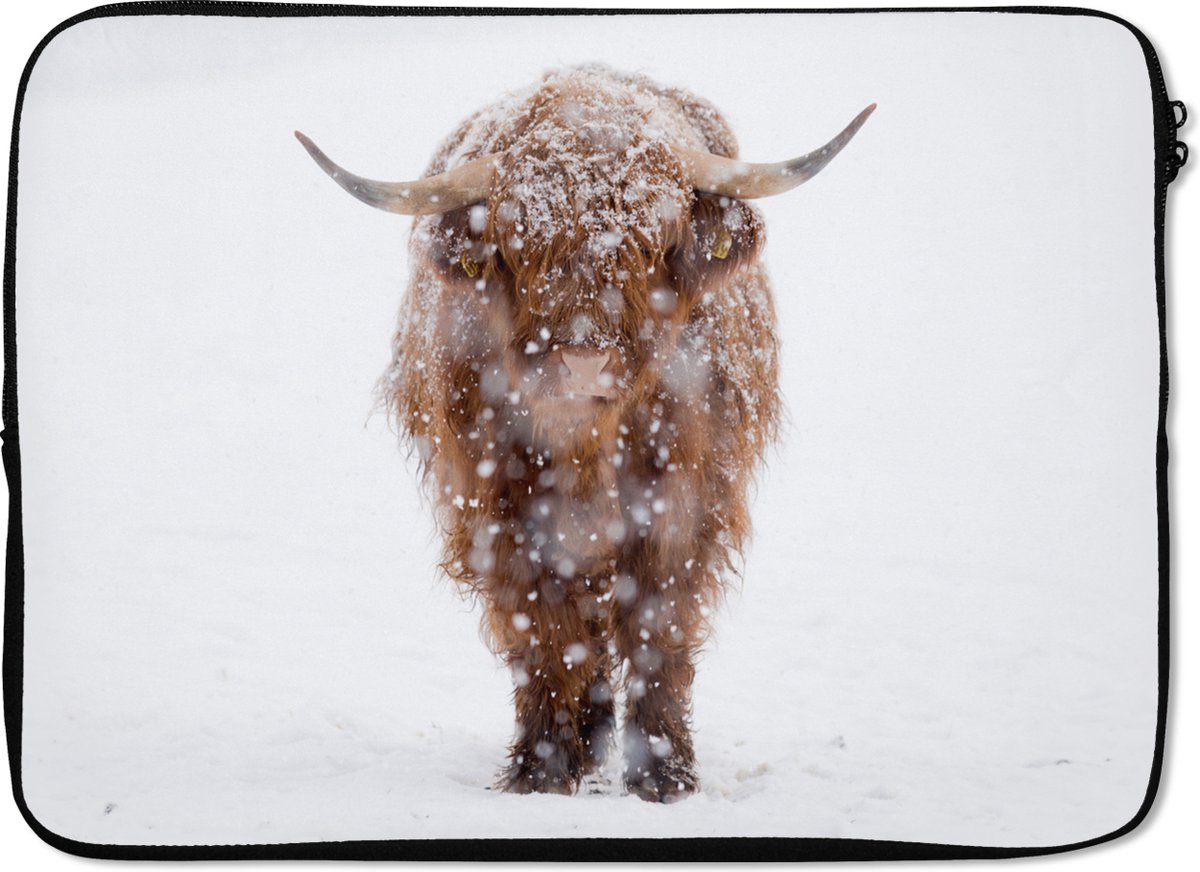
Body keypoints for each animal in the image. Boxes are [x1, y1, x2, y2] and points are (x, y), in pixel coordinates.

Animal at [297, 64, 872, 802]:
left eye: (652, 241)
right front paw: (540, 769)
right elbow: (542, 633)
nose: (584, 362)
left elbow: (659, 625)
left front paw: (663, 776)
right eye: (522, 243)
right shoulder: (498, 513)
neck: (586, 446)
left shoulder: (684, 507)